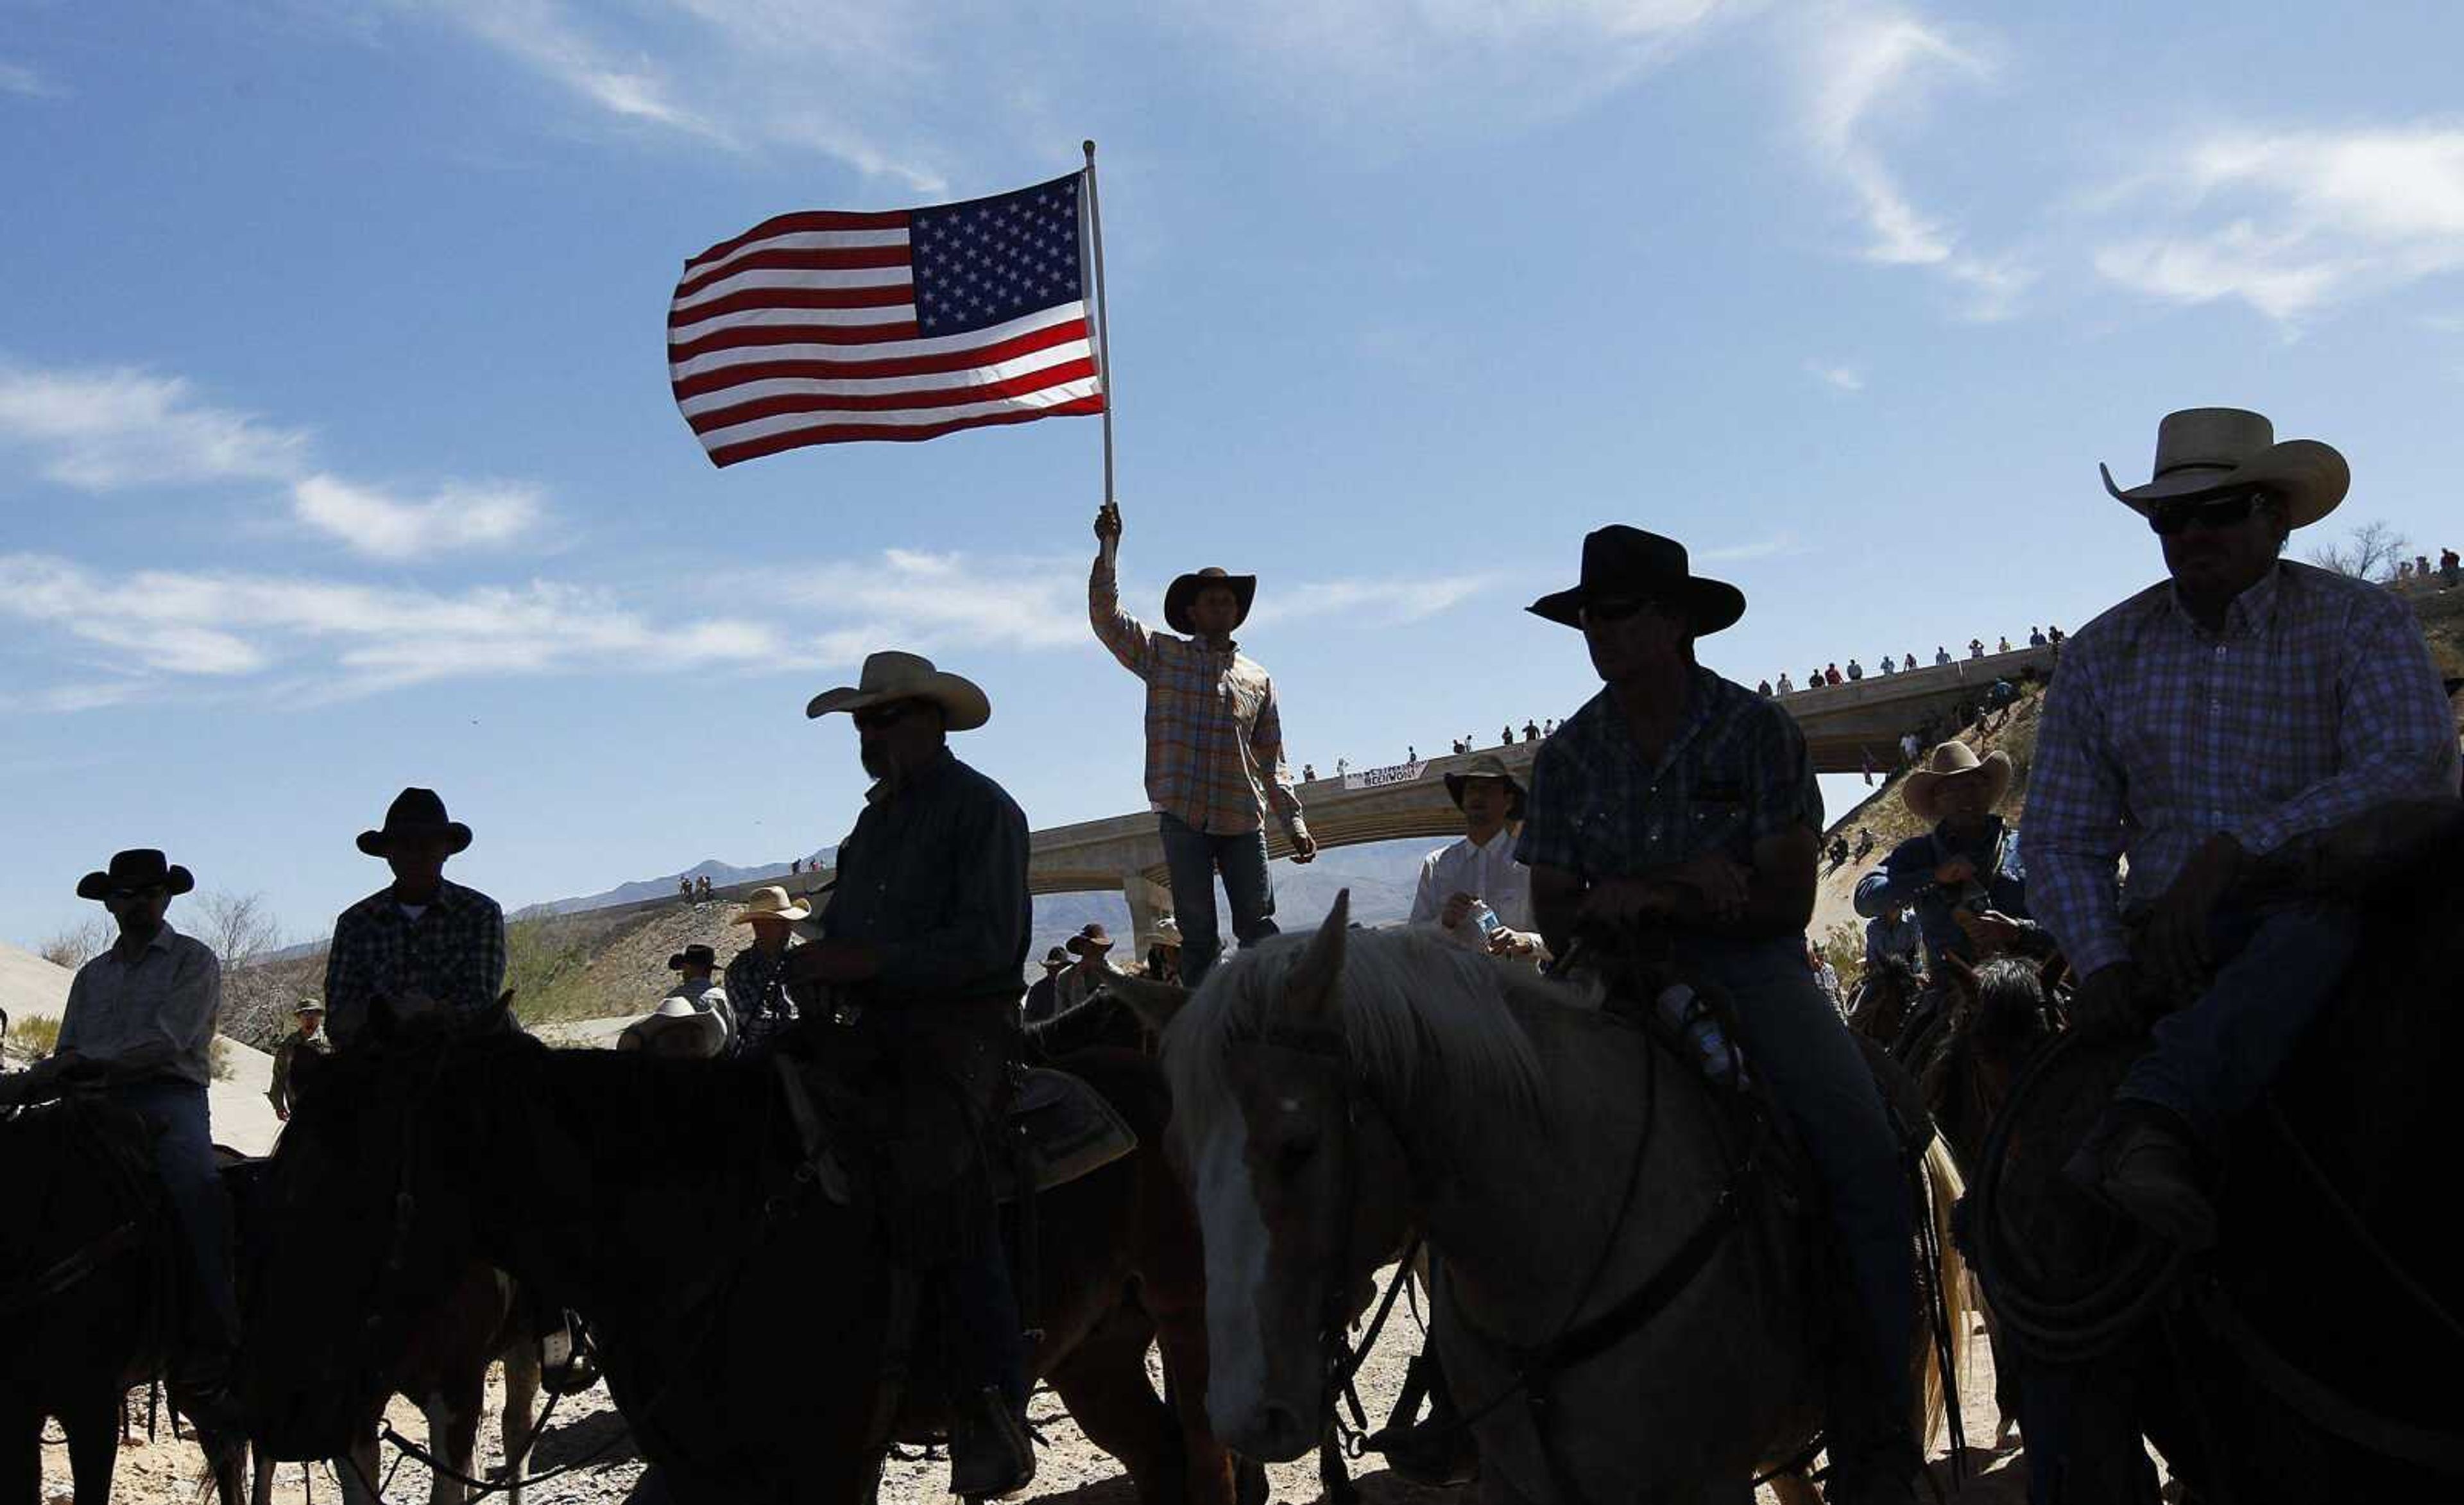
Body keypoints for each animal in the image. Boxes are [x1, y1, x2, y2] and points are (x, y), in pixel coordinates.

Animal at [237, 1000, 1242, 1505]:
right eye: (270, 1189)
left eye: (348, 1194)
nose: (279, 1409)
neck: (708, 1230)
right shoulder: (703, 1473)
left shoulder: (831, 1467)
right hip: (1097, 1349)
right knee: (1161, 1462)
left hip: (1191, 1321)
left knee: (1212, 1465)